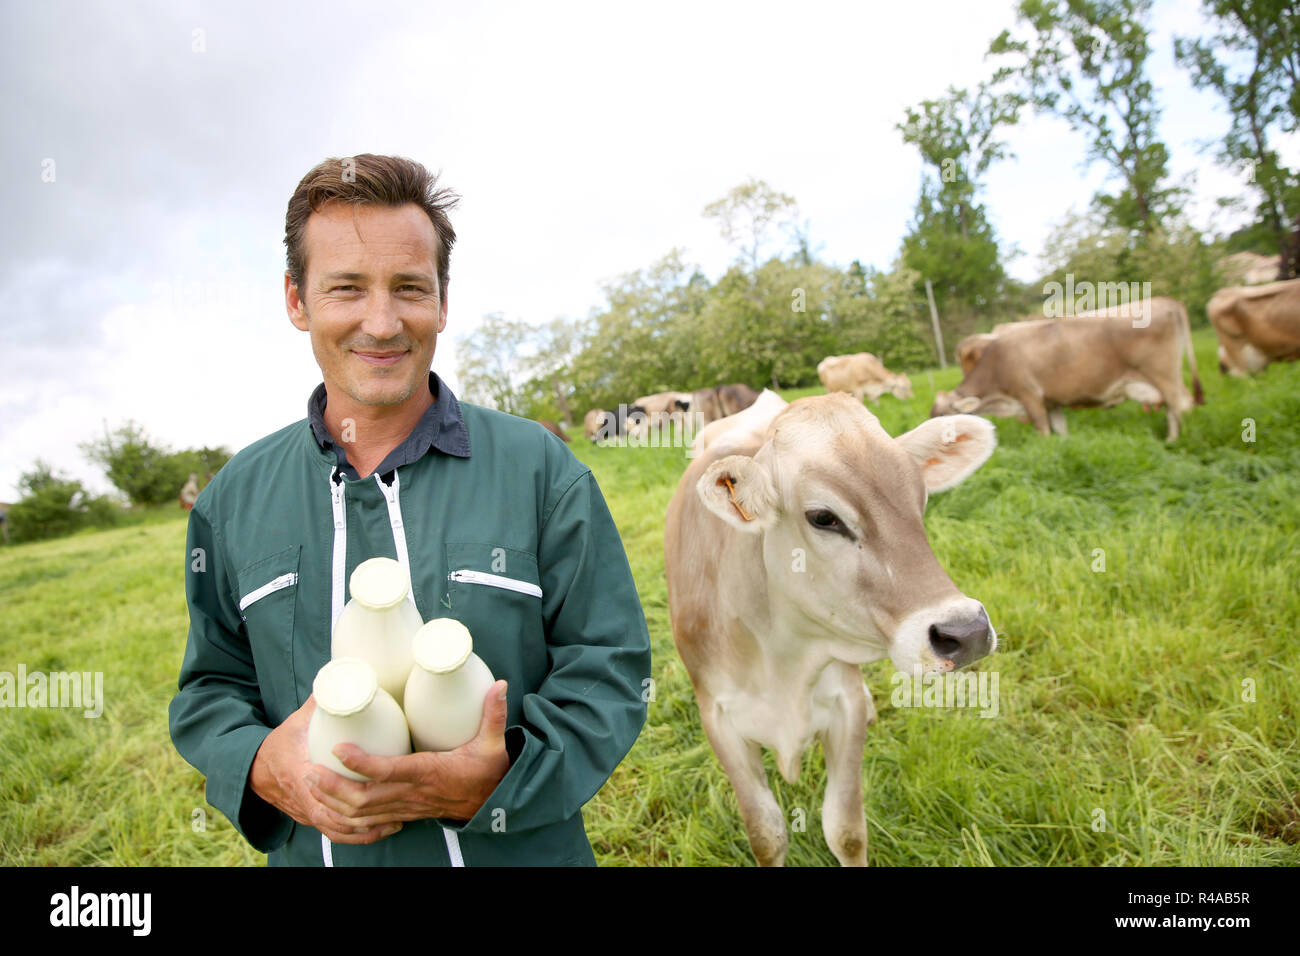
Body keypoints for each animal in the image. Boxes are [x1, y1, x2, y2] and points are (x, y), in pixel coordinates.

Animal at [665, 392, 998, 868]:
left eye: (920, 498)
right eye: (824, 517)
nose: (966, 630)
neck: (780, 657)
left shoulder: (844, 705)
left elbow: (846, 832)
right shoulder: (718, 719)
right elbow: (766, 835)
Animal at [935, 297, 1196, 442]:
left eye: (943, 418)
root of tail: (1166, 301)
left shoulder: (1031, 398)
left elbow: (1043, 431)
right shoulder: (1052, 402)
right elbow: (1061, 431)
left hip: (1165, 377)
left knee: (1177, 407)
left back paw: (1172, 441)